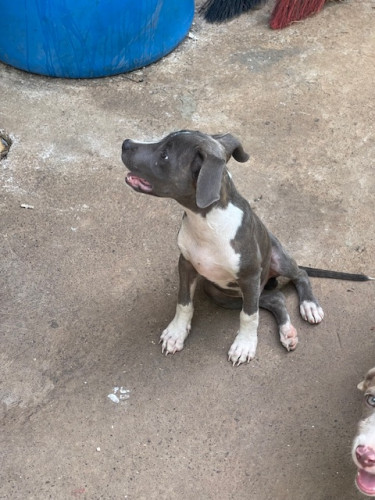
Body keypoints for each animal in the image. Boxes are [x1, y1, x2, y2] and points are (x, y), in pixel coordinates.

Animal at [122, 131, 374, 366]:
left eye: (164, 155)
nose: (125, 143)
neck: (207, 222)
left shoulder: (250, 277)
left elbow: (249, 316)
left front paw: (244, 345)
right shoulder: (186, 264)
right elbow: (184, 302)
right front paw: (176, 333)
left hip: (275, 259)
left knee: (300, 275)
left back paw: (309, 306)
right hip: (219, 293)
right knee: (275, 298)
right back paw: (287, 332)